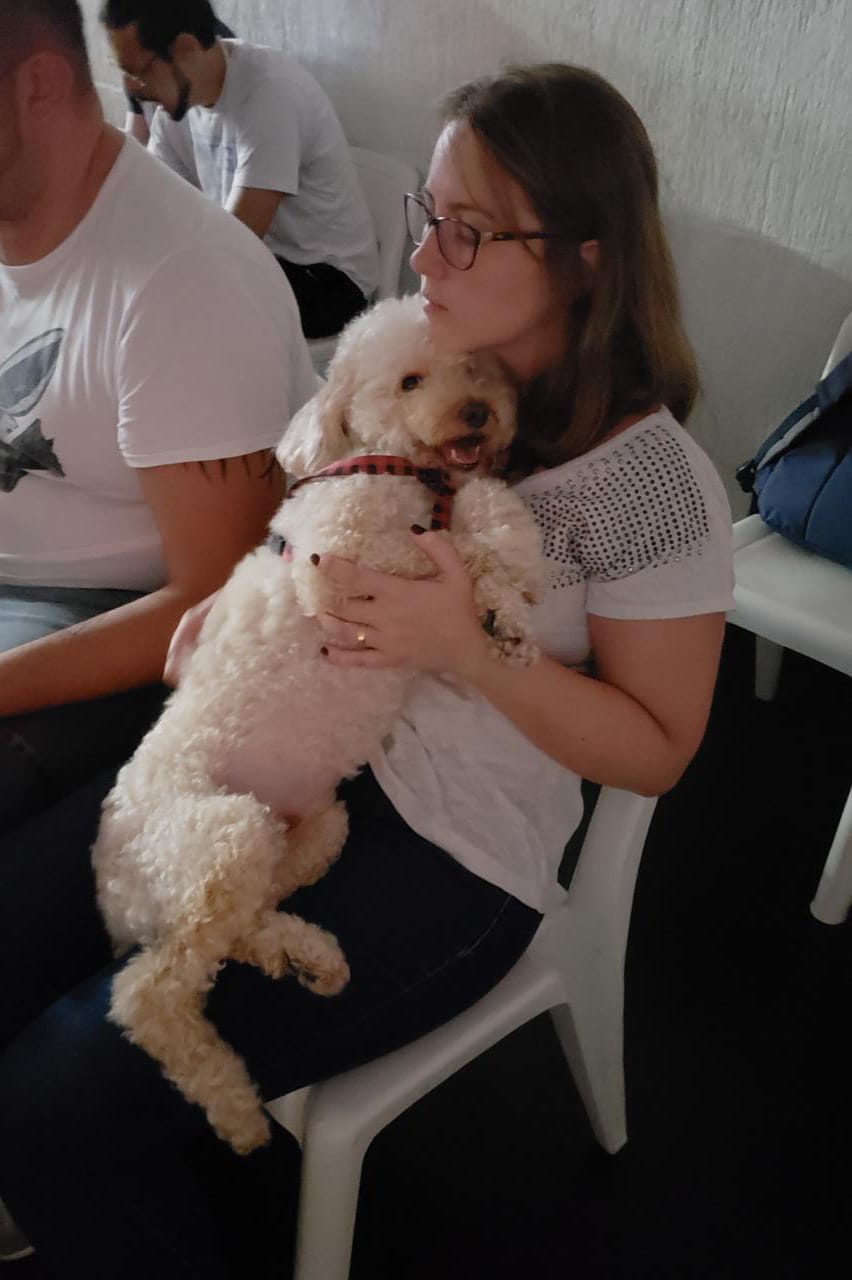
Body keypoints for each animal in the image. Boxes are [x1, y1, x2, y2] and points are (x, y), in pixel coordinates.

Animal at [92, 295, 545, 1154]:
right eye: (410, 381)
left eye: (476, 368)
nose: (479, 412)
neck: (389, 467)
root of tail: (113, 891)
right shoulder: (349, 565)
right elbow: (449, 523)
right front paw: (491, 558)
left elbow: (478, 515)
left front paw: (506, 602)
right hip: (220, 837)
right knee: (150, 995)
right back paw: (237, 1110)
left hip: (304, 829)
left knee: (227, 931)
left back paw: (303, 957)